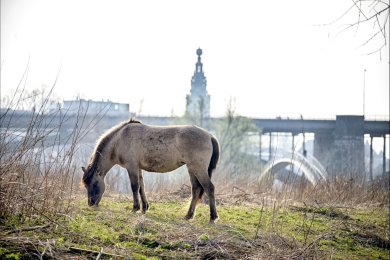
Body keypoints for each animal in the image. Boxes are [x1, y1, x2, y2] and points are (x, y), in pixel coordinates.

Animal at [81, 120, 219, 223]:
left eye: (94, 184)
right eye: (86, 186)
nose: (91, 204)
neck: (120, 139)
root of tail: (210, 136)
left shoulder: (131, 167)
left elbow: (134, 187)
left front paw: (135, 208)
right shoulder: (138, 168)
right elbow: (141, 187)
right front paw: (144, 208)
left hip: (198, 168)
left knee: (209, 188)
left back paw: (212, 217)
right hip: (192, 169)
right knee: (196, 189)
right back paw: (188, 215)